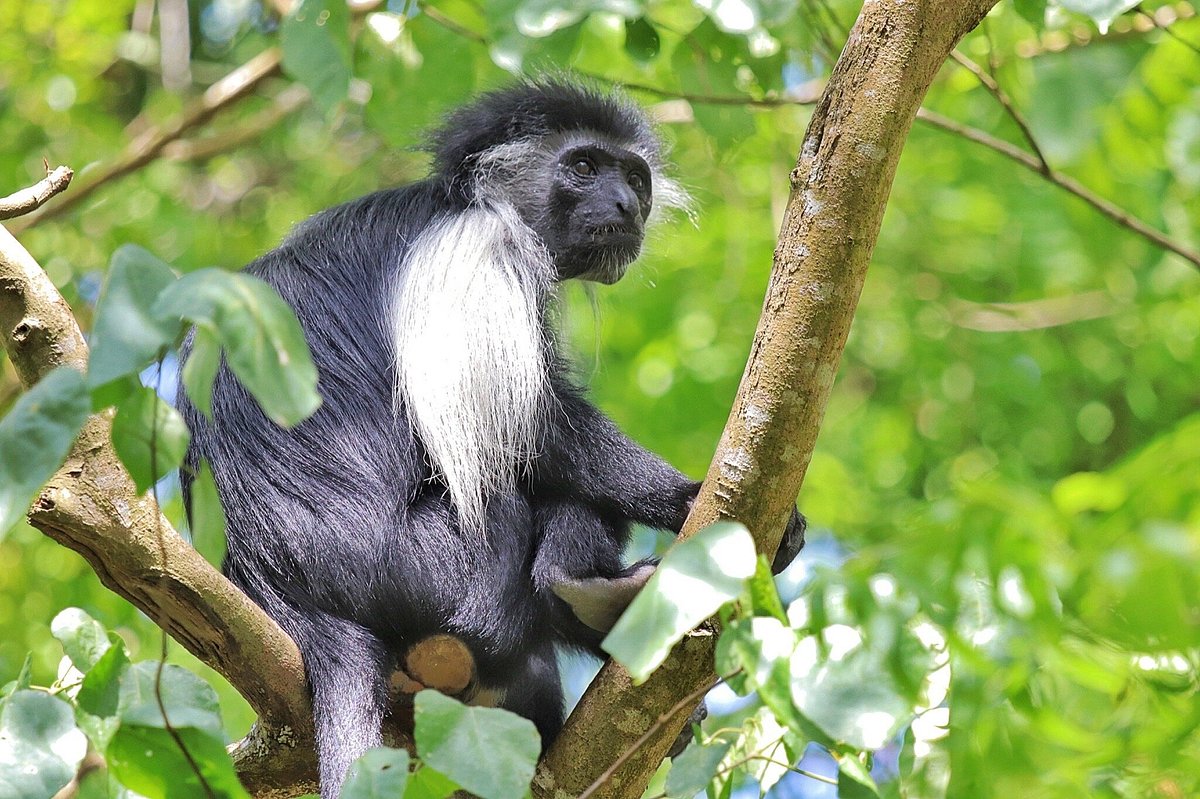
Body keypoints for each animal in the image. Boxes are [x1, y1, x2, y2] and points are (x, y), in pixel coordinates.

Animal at [180, 79, 806, 791]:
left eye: (634, 178)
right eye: (583, 166)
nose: (625, 205)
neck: (469, 199)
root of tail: (294, 604)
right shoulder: (479, 248)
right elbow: (533, 428)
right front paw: (684, 497)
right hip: (437, 570)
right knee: (528, 497)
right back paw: (590, 590)